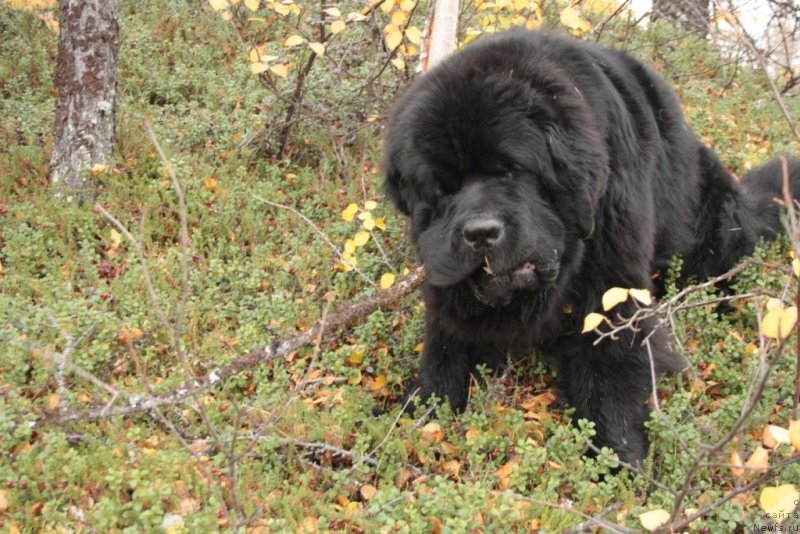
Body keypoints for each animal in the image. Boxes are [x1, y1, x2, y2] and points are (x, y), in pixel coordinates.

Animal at [382, 28, 800, 464]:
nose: (480, 232)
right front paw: (423, 414)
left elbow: (609, 367)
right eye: (442, 188)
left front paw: (620, 458)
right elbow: (445, 344)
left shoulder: (611, 278)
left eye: (512, 171)